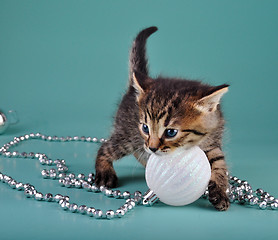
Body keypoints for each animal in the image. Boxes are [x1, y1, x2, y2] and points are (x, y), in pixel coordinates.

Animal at [95, 25, 230, 210]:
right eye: (145, 128)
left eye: (171, 132)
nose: (152, 148)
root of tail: (132, 89)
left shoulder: (213, 141)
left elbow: (219, 163)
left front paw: (220, 192)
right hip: (127, 136)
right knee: (106, 147)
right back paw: (105, 172)